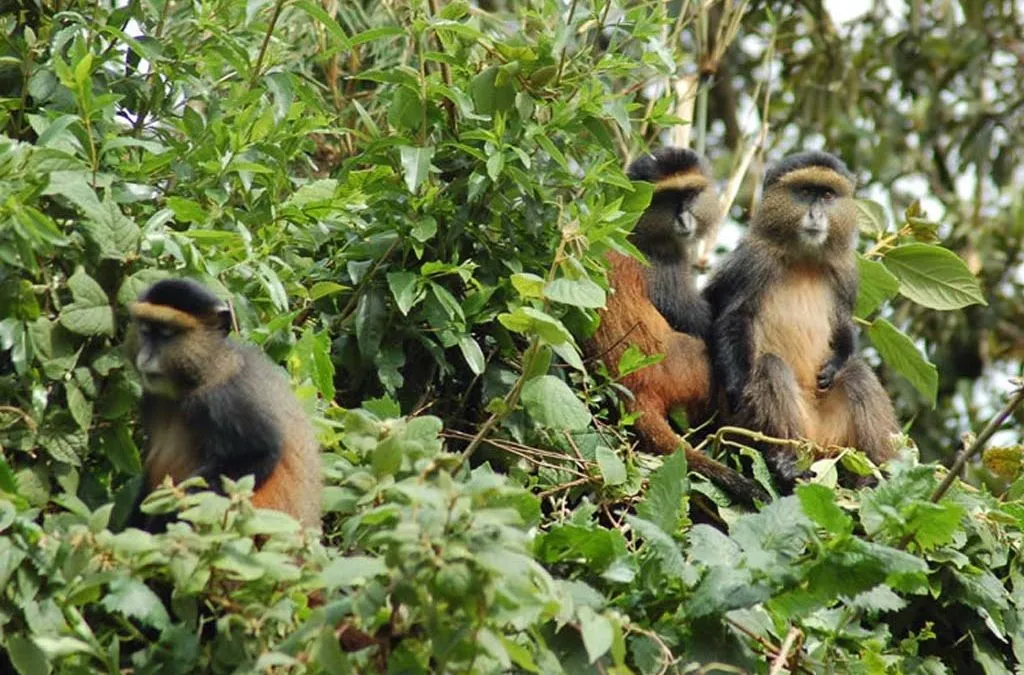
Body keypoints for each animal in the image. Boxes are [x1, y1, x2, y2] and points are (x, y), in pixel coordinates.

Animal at [585, 147, 770, 506]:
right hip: (687, 371)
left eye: (691, 193)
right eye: (670, 198)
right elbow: (703, 324)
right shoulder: (665, 265)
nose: (684, 219)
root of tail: (636, 387)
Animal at [703, 151, 899, 489]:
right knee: (769, 366)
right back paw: (786, 463)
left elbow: (843, 327)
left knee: (857, 373)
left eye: (828, 195)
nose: (816, 214)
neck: (803, 258)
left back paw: (877, 474)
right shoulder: (751, 261)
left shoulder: (846, 274)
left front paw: (834, 364)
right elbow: (733, 317)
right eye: (806, 192)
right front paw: (737, 389)